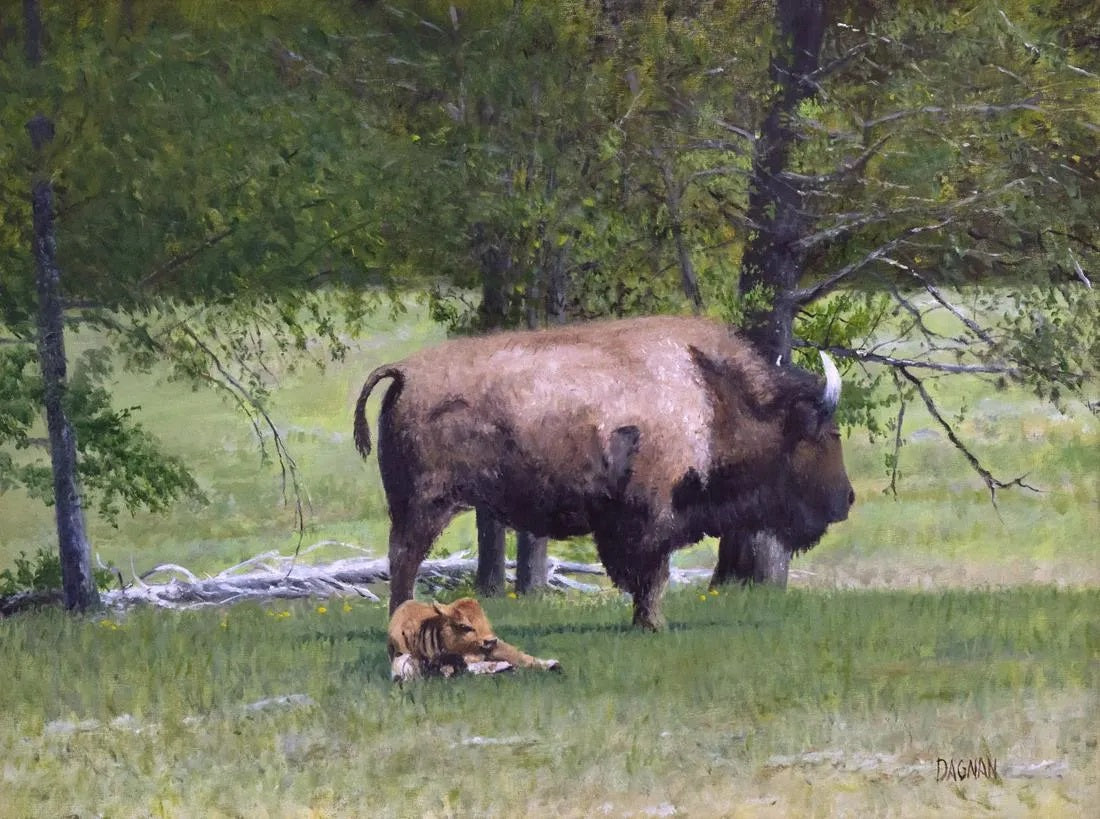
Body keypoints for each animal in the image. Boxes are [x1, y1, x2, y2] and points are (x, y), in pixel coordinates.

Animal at [354, 315, 854, 629]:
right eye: (828, 434)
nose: (846, 499)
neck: (711, 395)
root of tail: (405, 371)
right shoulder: (649, 518)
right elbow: (653, 575)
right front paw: (654, 624)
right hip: (426, 506)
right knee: (404, 560)